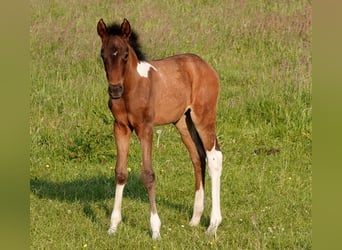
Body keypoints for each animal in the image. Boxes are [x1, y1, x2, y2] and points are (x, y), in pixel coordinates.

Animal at [97, 18, 223, 239]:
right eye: (103, 55)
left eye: (125, 54)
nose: (115, 90)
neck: (132, 88)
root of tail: (205, 66)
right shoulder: (120, 127)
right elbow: (120, 172)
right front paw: (113, 226)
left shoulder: (145, 128)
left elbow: (148, 175)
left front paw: (155, 229)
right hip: (183, 122)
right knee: (198, 157)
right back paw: (195, 219)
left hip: (204, 116)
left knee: (214, 157)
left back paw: (213, 225)